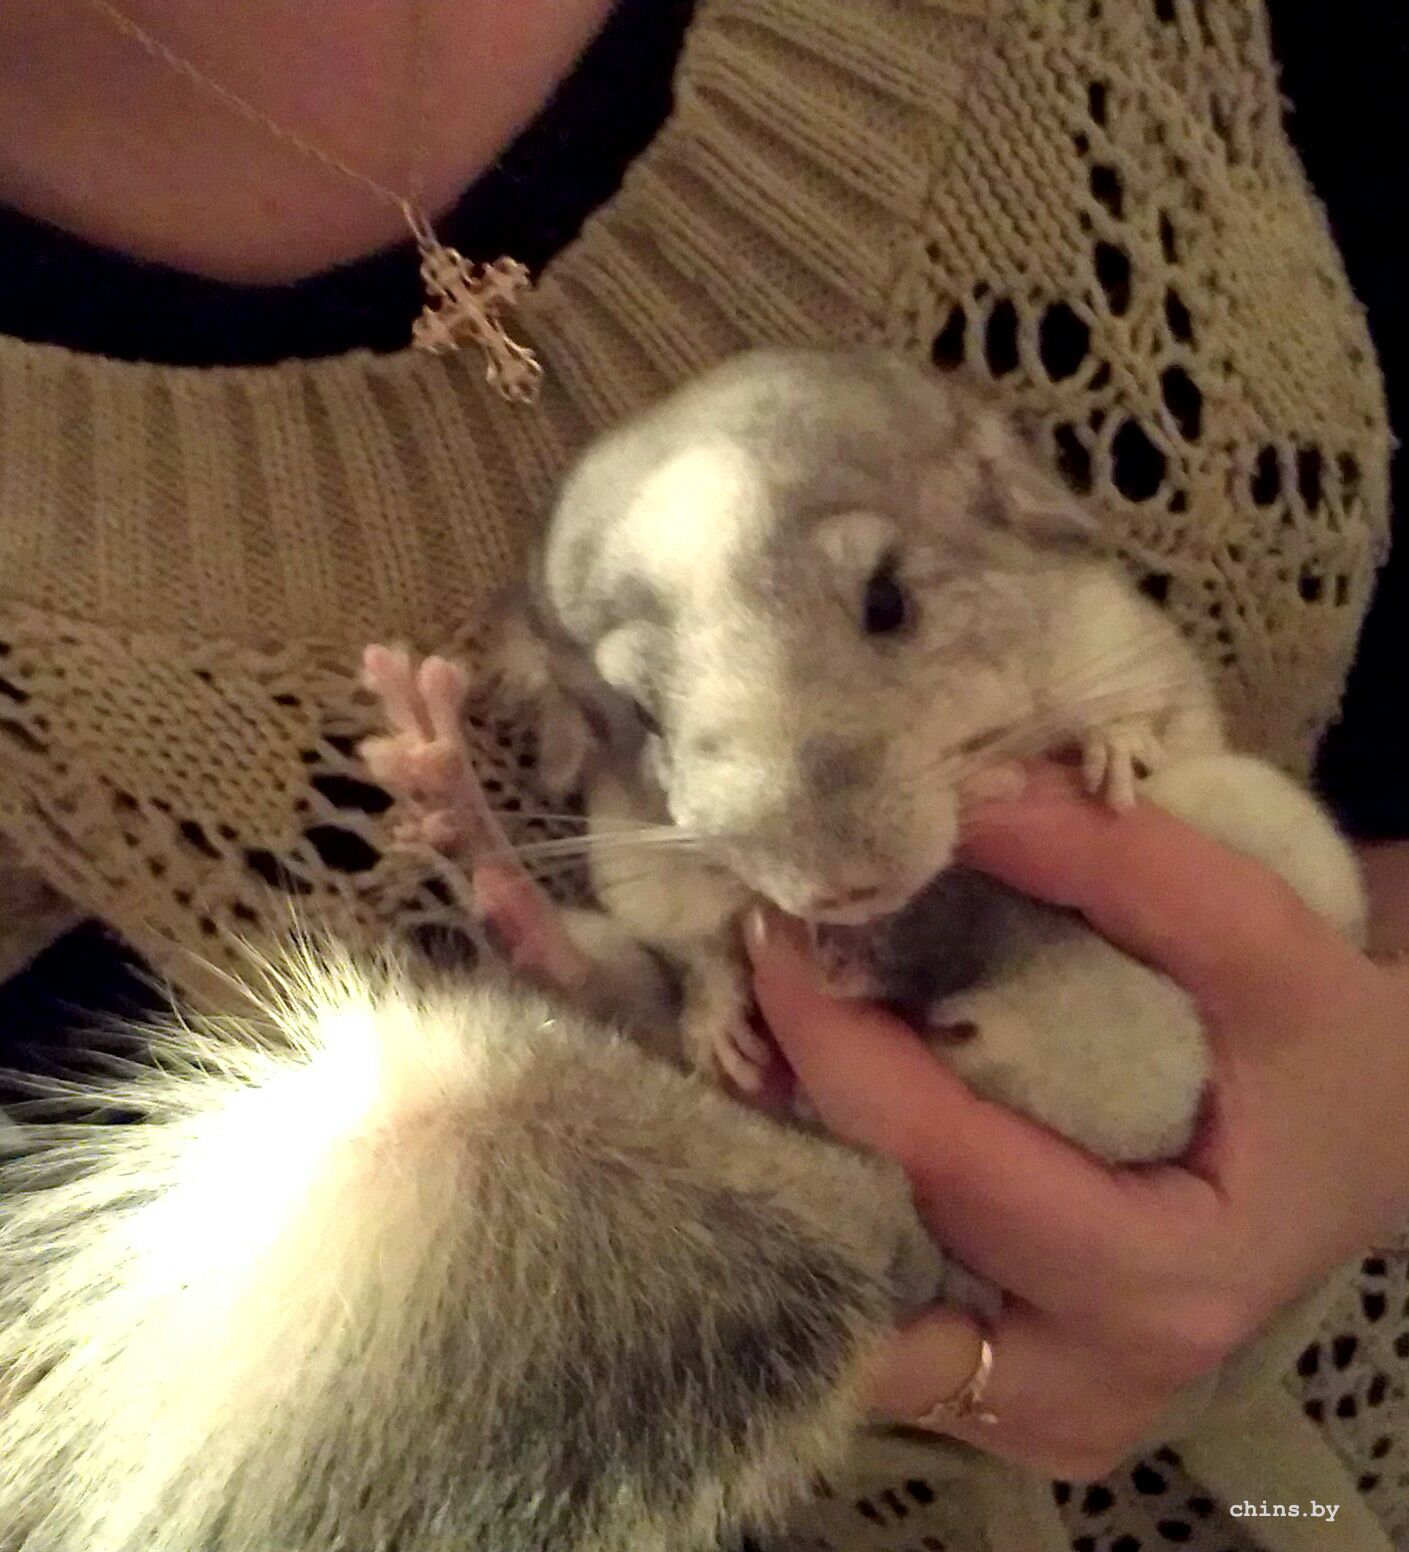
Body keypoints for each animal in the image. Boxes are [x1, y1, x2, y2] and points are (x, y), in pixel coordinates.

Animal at [480, 347, 1364, 1162]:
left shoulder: (1124, 642)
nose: (840, 891)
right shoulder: (638, 868)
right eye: (639, 713)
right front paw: (718, 1037)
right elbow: (701, 951)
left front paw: (1113, 758)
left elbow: (1136, 715)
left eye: (886, 600)